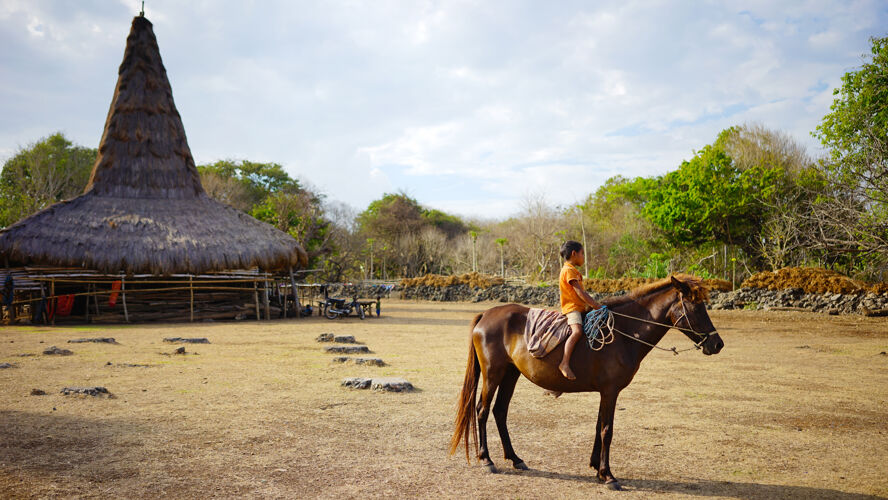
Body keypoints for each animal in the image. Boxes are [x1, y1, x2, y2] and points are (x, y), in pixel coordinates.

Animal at [450, 274, 720, 488]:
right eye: (696, 307)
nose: (718, 344)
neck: (624, 333)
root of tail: (487, 314)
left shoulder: (606, 392)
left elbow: (599, 426)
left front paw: (596, 468)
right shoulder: (611, 391)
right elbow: (607, 430)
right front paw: (608, 475)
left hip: (510, 374)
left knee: (499, 411)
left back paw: (515, 458)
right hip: (493, 374)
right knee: (482, 410)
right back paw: (486, 459)